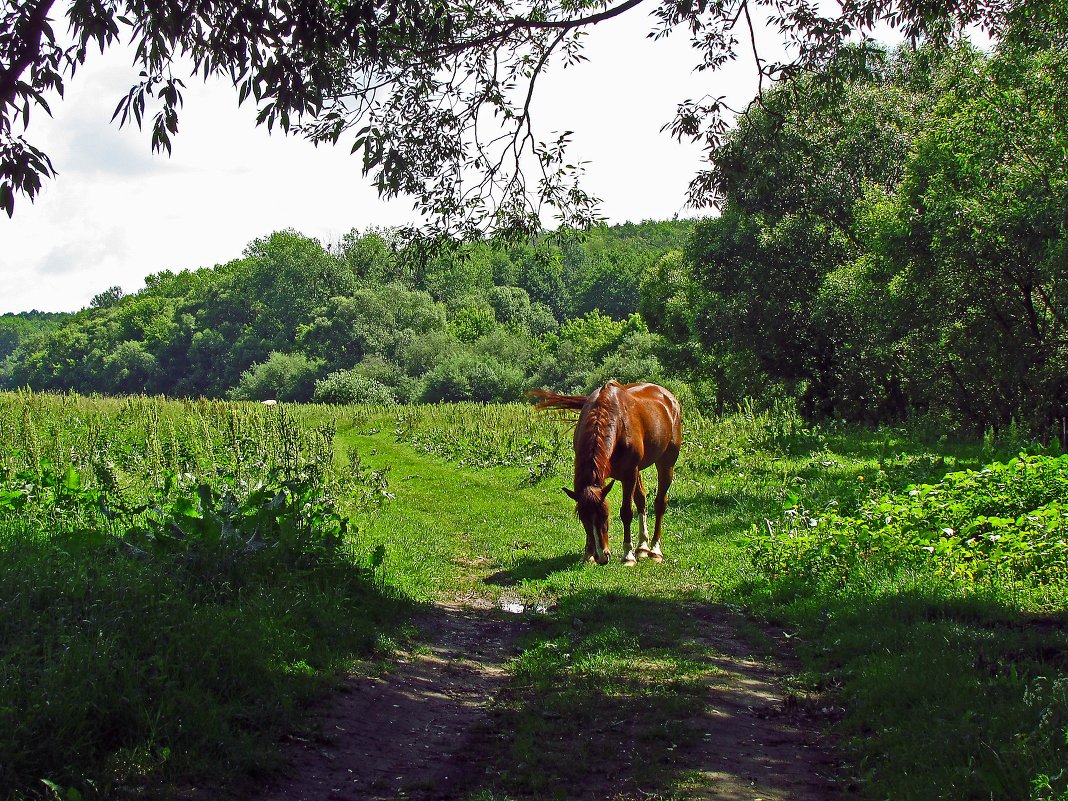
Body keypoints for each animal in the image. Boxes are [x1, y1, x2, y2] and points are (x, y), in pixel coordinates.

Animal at [529, 380, 679, 563]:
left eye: (605, 516)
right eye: (583, 519)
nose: (601, 556)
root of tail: (669, 397)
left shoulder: (629, 474)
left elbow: (626, 512)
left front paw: (627, 555)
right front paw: (588, 554)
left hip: (666, 463)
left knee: (659, 503)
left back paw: (655, 550)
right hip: (638, 470)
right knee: (641, 500)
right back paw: (642, 547)